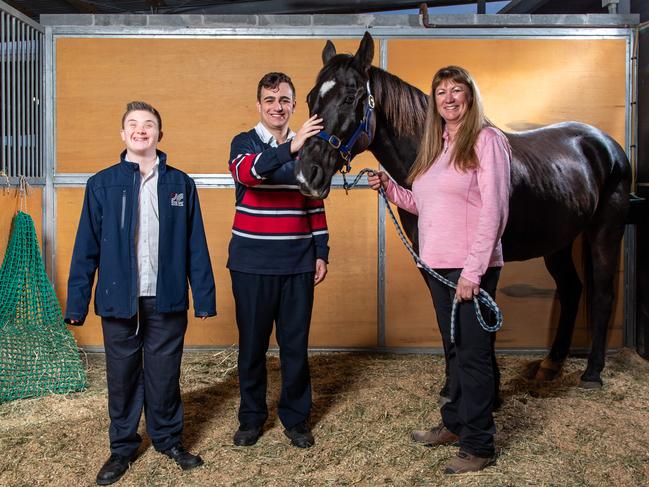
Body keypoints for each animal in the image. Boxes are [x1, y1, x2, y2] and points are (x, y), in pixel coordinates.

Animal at [296, 32, 632, 388]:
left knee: (602, 295)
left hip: (605, 233)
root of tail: (605, 144)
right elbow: (446, 321)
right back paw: (551, 364)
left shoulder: (481, 264)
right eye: (310, 98)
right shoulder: (430, 263)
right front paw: (453, 386)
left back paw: (592, 373)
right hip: (558, 242)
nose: (307, 174)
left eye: (350, 98)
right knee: (571, 290)